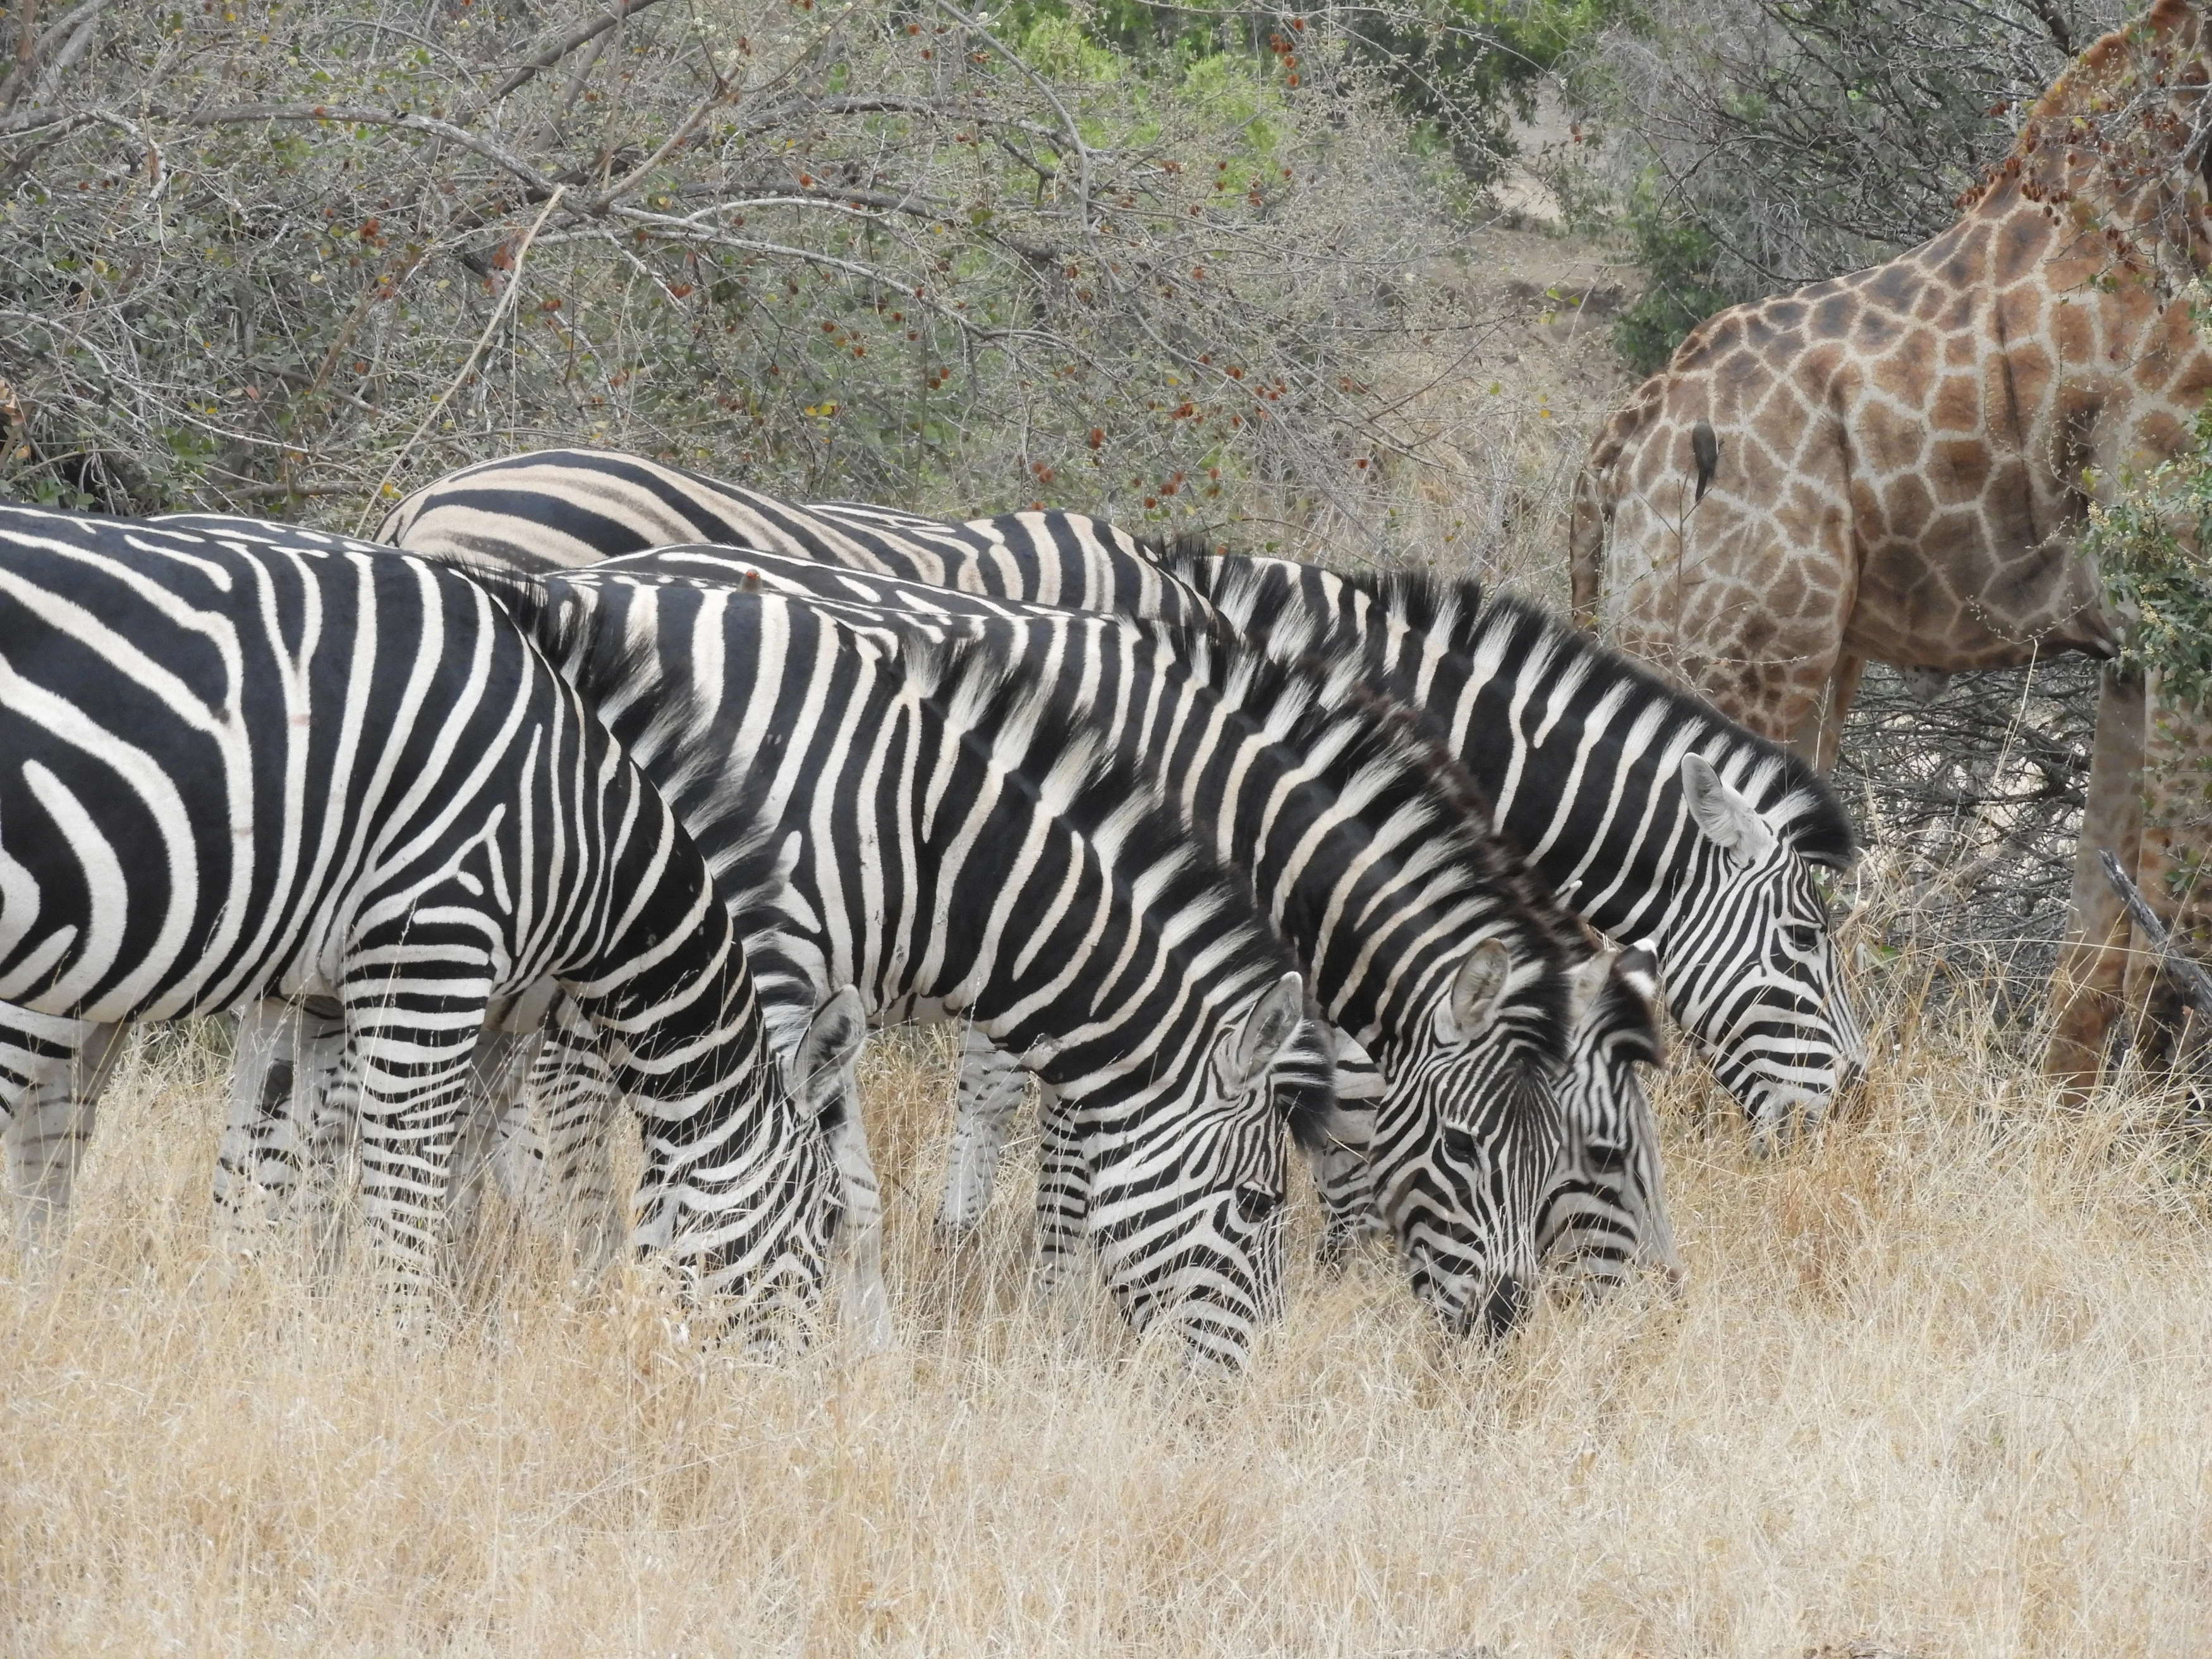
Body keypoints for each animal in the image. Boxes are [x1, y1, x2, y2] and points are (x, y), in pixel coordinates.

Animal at [0, 504, 854, 1321]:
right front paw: (401, 1338)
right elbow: (405, 1185)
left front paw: (263, 1314)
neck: (583, 827)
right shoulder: (433, 950)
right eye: (820, 1228)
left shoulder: (303, 994)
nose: (794, 1370)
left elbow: (272, 1168)